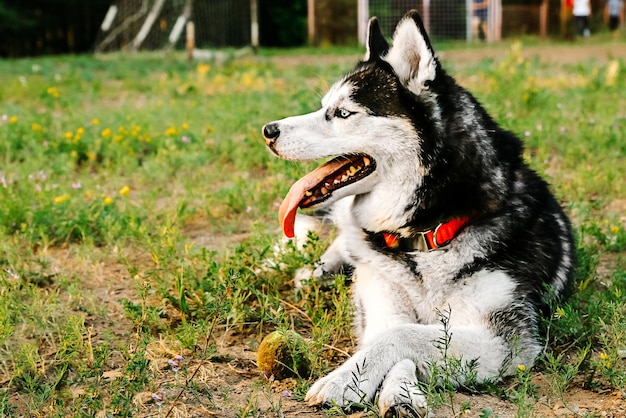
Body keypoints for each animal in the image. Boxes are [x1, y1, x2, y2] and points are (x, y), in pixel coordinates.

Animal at [260, 10, 572, 418]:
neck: (426, 233)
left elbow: (404, 336)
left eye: (341, 113)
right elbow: (393, 332)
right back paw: (309, 271)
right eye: (324, 106)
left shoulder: (505, 340)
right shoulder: (384, 299)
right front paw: (359, 381)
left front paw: (380, 389)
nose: (268, 130)